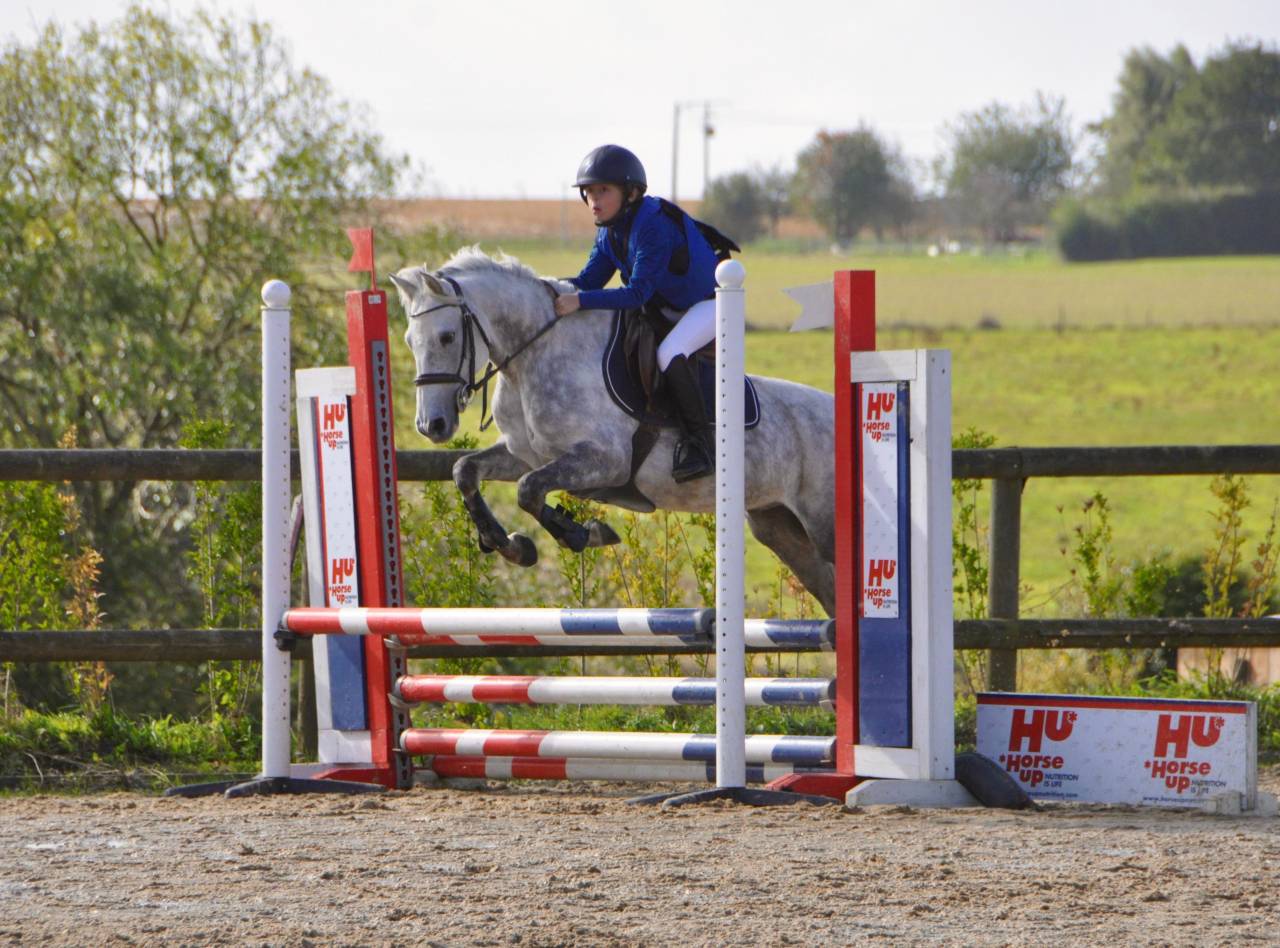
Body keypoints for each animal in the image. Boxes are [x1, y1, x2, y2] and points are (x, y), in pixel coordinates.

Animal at [388, 247, 837, 616]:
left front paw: (581, 533)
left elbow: (529, 490)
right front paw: (510, 545)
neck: (534, 357)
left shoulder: (605, 460)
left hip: (823, 526)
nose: (432, 425)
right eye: (410, 340)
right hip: (779, 528)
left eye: (447, 337)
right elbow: (465, 470)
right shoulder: (524, 454)